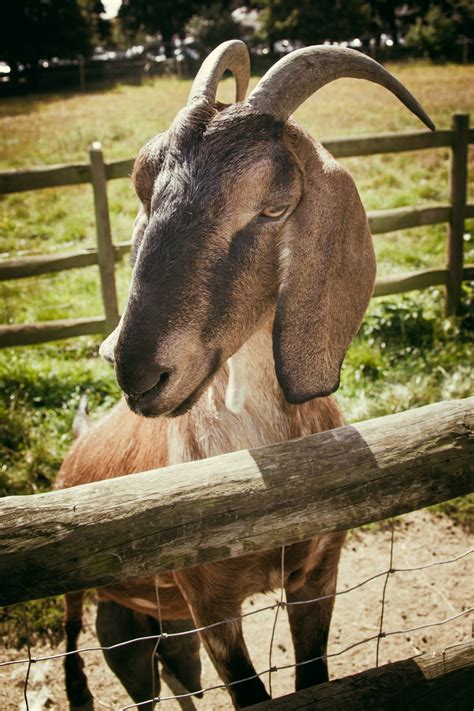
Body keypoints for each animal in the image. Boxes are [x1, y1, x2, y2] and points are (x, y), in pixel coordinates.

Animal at [56, 41, 434, 708]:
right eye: (144, 190)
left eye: (274, 206)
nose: (139, 373)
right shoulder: (211, 604)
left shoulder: (317, 573)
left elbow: (313, 675)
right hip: (99, 603)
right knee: (78, 638)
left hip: (154, 628)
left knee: (169, 672)